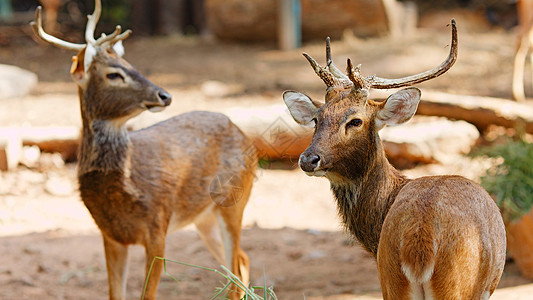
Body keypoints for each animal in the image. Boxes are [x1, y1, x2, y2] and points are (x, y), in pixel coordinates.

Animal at [29, 0, 256, 300]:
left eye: (131, 64)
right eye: (114, 74)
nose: (165, 95)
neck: (125, 188)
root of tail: (244, 135)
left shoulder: (157, 227)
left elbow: (147, 293)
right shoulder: (110, 234)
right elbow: (115, 293)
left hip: (234, 201)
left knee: (237, 266)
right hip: (203, 217)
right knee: (241, 262)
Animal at [280, 19, 504, 298]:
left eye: (355, 121)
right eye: (316, 118)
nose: (308, 159)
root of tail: (419, 241)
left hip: (391, 277)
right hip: (454, 284)